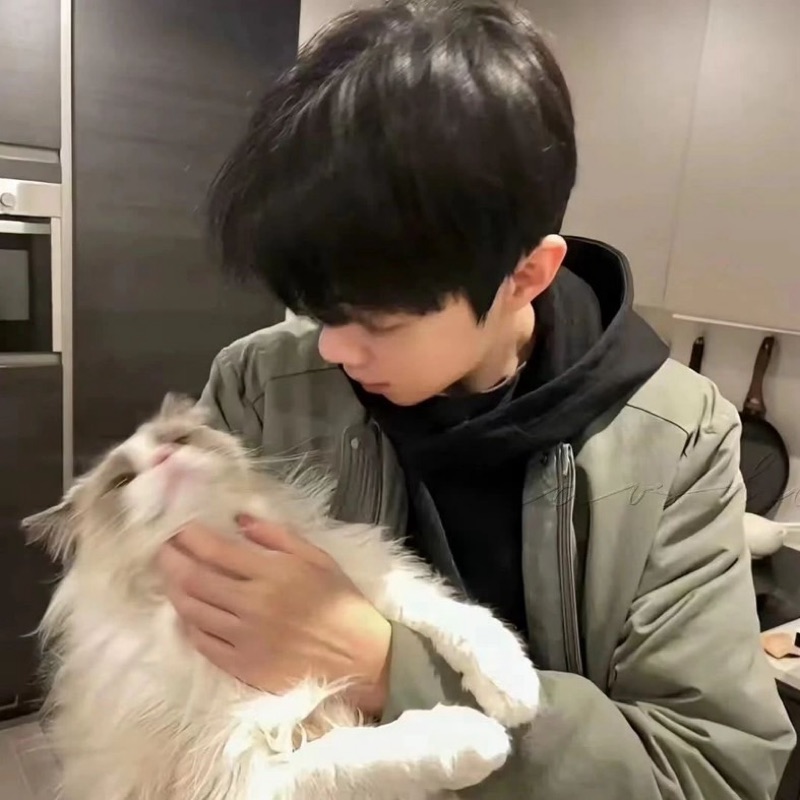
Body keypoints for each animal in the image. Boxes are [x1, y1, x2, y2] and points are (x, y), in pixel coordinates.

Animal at [22, 393, 540, 800]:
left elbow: (456, 618)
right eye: (121, 483)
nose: (168, 459)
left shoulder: (364, 571)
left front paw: (513, 690)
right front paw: (473, 734)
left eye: (180, 441)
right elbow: (358, 754)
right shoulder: (240, 775)